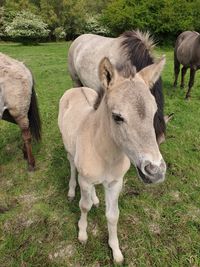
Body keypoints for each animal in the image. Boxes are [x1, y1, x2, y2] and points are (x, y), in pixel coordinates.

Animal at [58, 56, 167, 264]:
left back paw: (95, 198)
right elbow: (83, 206)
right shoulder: (85, 180)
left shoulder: (115, 183)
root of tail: (77, 89)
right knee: (72, 166)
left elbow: (113, 216)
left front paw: (116, 251)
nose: (155, 171)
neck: (105, 154)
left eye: (154, 113)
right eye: (117, 117)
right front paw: (82, 234)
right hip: (69, 151)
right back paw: (71, 191)